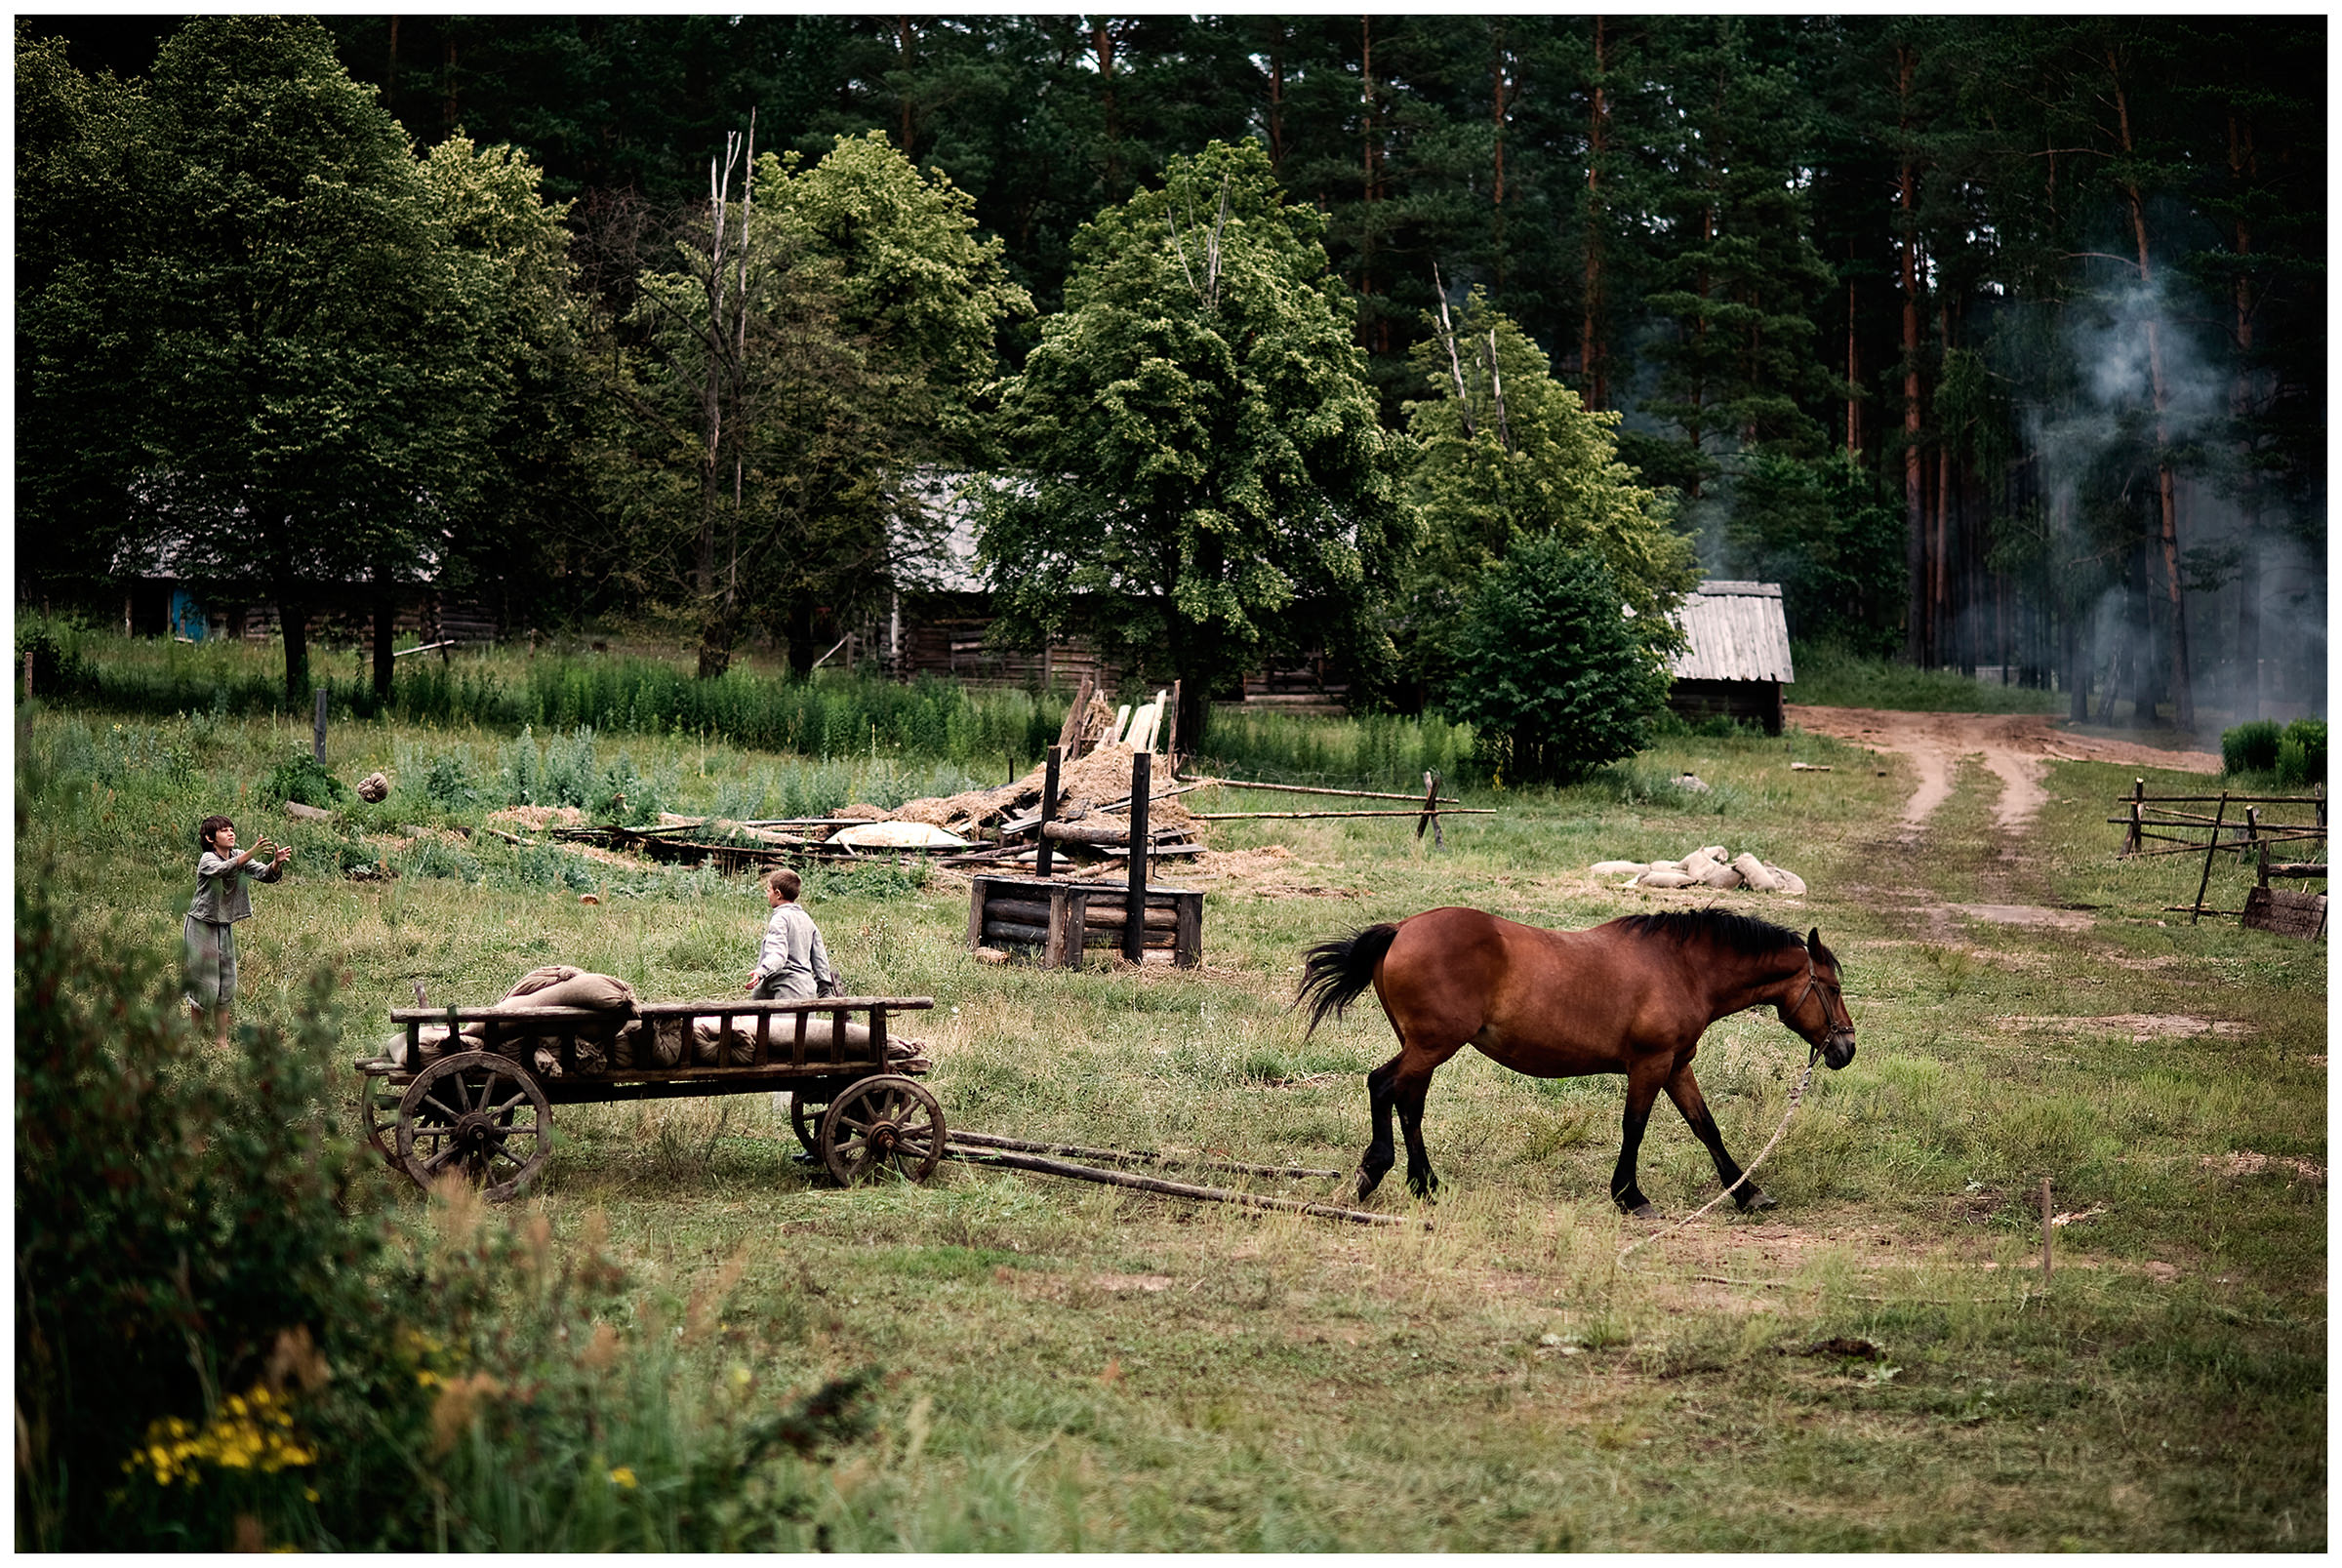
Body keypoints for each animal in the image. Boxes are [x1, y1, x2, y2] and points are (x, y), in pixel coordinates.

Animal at [1295, 907, 1857, 1214]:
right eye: (1831, 988)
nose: (1846, 1048)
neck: (1681, 968)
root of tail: (1403, 928)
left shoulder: (1676, 1066)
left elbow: (1706, 1127)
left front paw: (1747, 1193)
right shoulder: (1650, 1065)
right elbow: (1635, 1128)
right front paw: (1630, 1196)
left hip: (1425, 1047)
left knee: (1409, 1102)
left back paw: (1426, 1185)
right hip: (1432, 1045)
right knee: (1383, 1086)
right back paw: (1375, 1172)